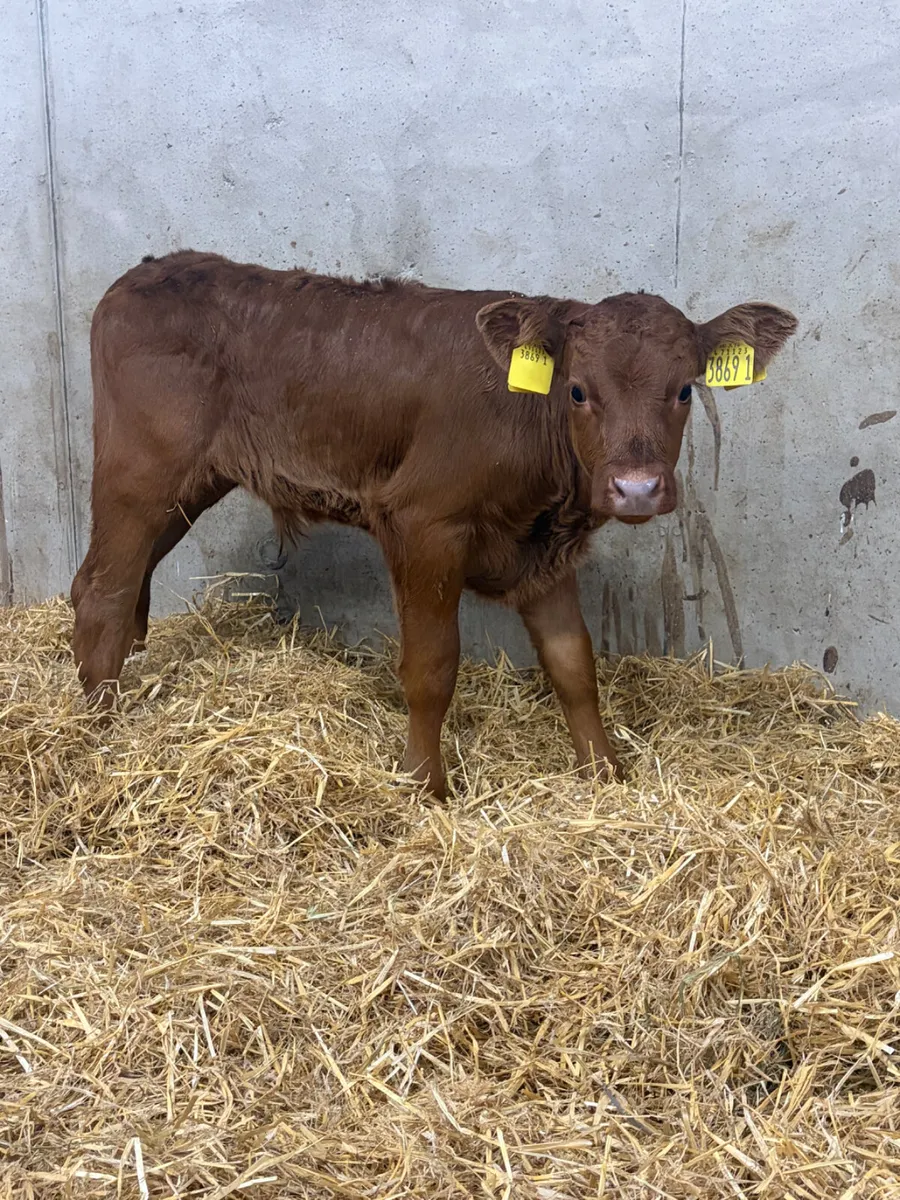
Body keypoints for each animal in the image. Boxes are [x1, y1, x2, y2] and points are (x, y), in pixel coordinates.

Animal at [71, 251, 797, 798]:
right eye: (578, 390)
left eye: (684, 389)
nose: (637, 488)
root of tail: (147, 271)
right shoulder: (423, 523)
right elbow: (431, 666)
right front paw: (425, 785)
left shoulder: (541, 550)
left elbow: (573, 664)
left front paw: (605, 773)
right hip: (140, 473)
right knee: (104, 592)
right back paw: (100, 732)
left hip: (187, 487)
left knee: (109, 584)